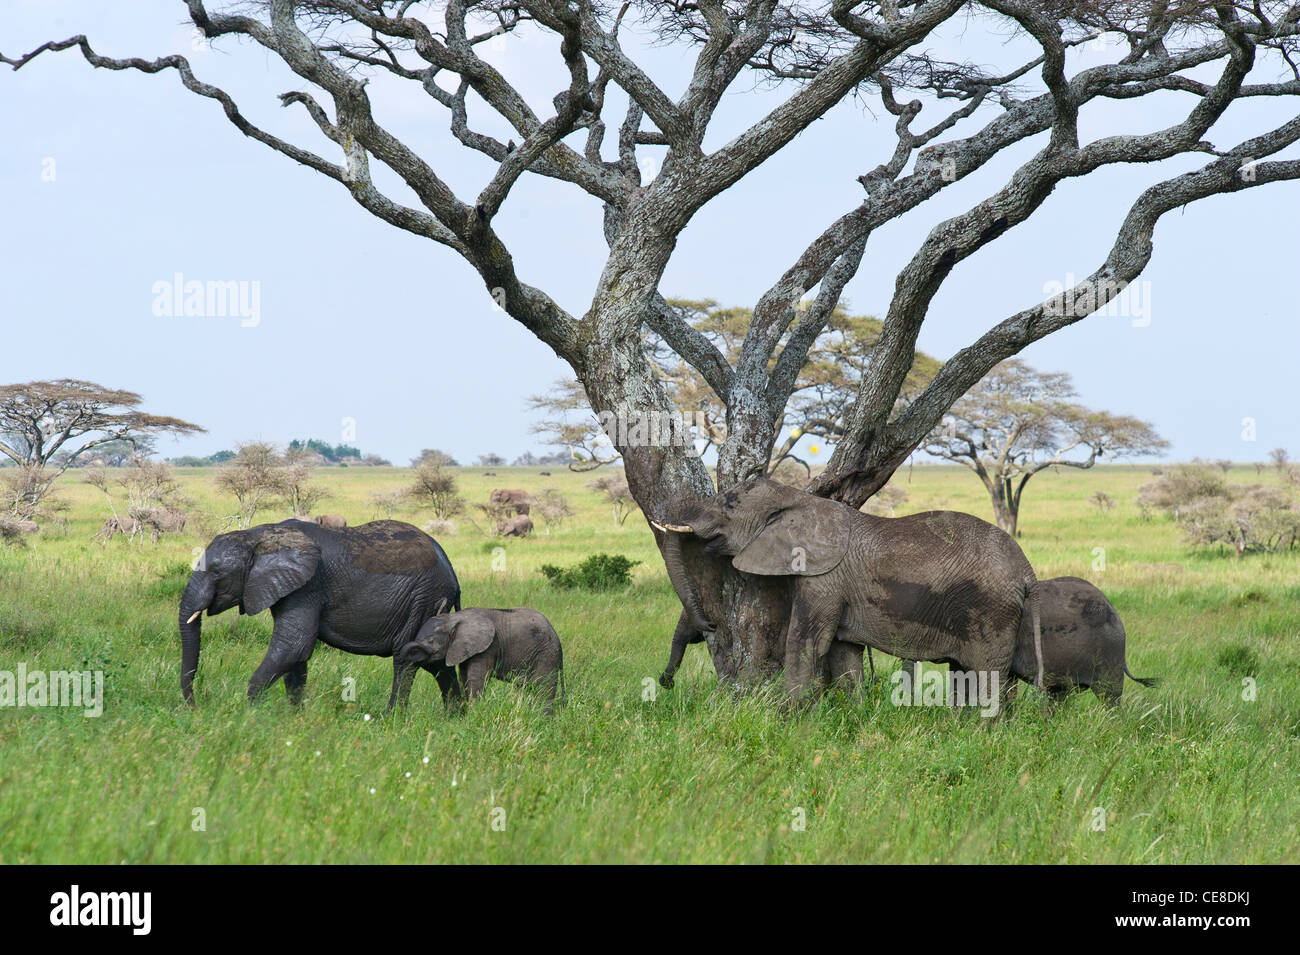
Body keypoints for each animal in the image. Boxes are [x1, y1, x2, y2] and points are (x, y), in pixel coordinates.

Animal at [178, 519, 462, 706]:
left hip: (423, 597)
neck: (259, 535)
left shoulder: (309, 586)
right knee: (435, 661)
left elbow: (293, 647)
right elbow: (296, 657)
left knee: (406, 659)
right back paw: (456, 716)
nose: (195, 706)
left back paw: (392, 717)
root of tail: (451, 568)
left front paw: (251, 715)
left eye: (216, 572)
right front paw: (293, 719)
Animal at [392, 608, 561, 712]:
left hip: (546, 654)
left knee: (543, 688)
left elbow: (476, 679)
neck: (455, 618)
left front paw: (473, 715)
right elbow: (464, 677)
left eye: (431, 641)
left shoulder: (488, 647)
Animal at [655, 478, 1040, 712]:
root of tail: (1026, 571)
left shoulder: (823, 577)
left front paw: (784, 719)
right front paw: (851, 715)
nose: (710, 625)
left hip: (991, 611)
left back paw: (986, 733)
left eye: (729, 505)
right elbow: (843, 654)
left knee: (990, 677)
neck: (798, 497)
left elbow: (806, 642)